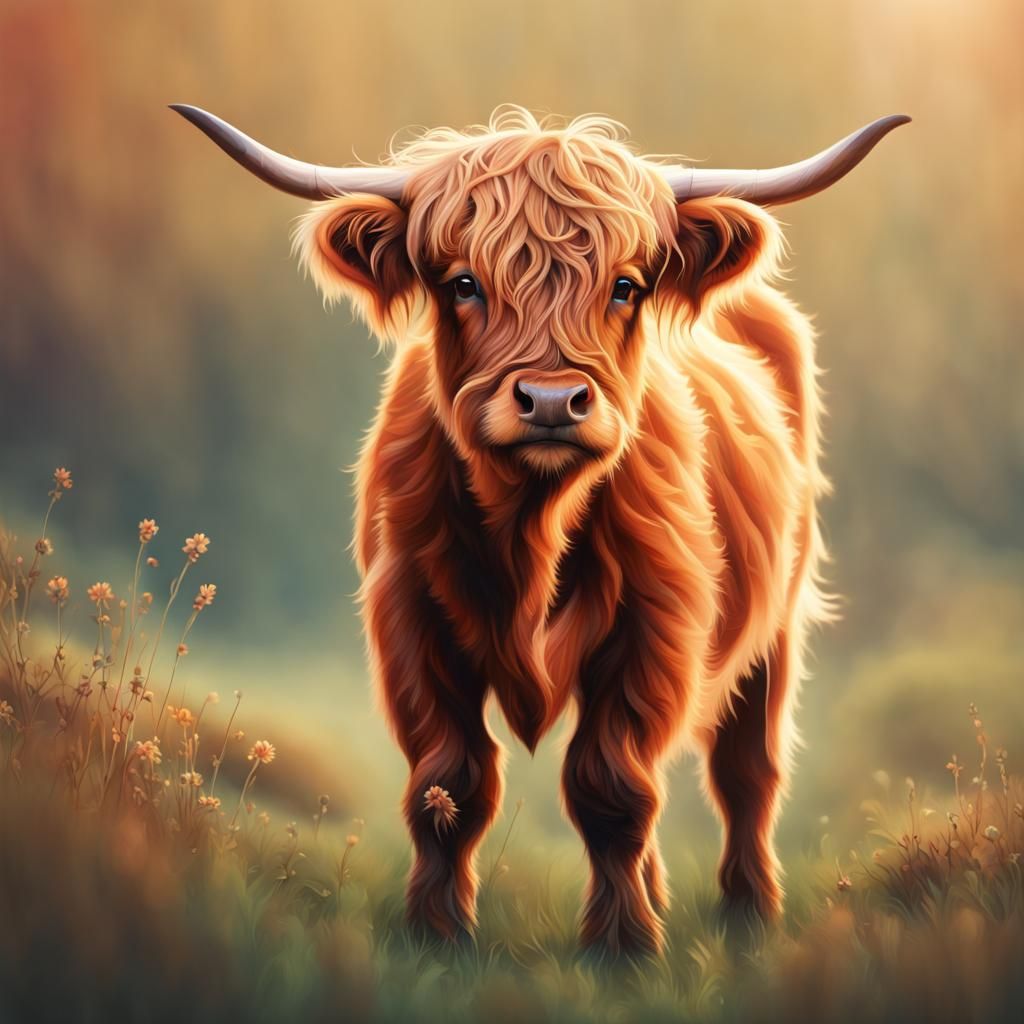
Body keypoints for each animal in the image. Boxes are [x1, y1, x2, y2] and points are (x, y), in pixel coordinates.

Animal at [174, 104, 908, 956]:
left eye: (626, 285)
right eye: (463, 282)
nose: (553, 401)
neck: (532, 521)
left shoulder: (656, 627)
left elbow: (611, 785)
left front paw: (623, 948)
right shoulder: (409, 623)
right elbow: (448, 783)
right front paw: (437, 935)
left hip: (778, 624)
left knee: (746, 770)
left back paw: (751, 916)